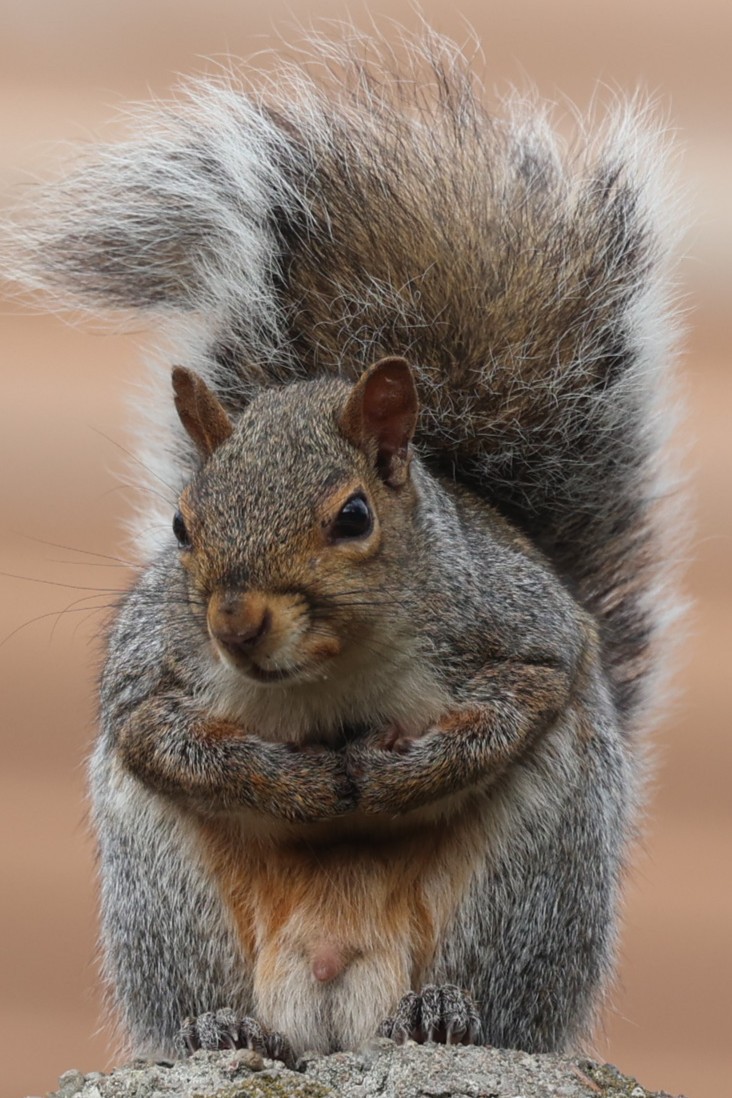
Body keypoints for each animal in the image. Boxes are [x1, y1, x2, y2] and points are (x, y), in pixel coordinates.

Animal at [5, 31, 682, 1067]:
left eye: (355, 517)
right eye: (181, 526)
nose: (236, 623)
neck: (326, 677)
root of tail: (334, 1013)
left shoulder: (518, 622)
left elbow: (519, 697)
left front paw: (397, 774)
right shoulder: (152, 665)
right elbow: (157, 730)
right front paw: (291, 781)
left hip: (534, 874)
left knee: (496, 988)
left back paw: (444, 1015)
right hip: (167, 894)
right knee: (205, 994)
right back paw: (221, 1027)